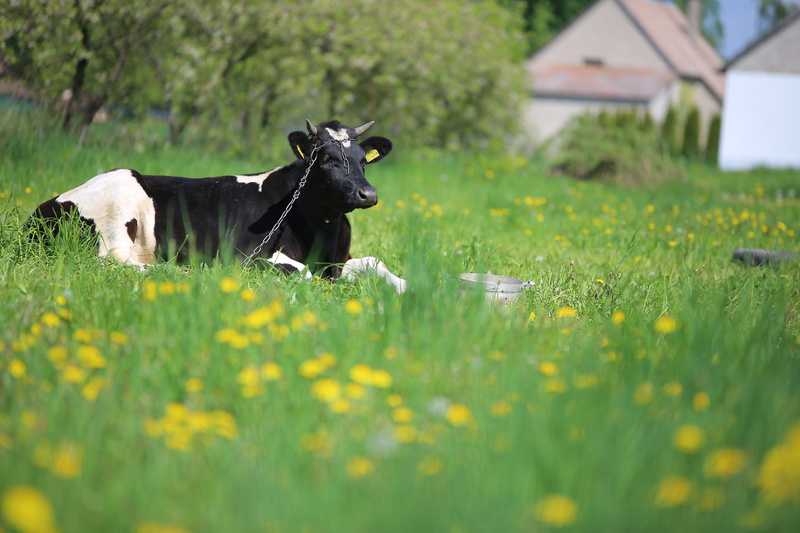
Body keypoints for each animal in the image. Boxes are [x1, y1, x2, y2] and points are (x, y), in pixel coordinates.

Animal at [29, 119, 407, 293]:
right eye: (327, 159)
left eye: (363, 160)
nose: (368, 194)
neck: (320, 230)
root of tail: (39, 211)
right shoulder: (247, 258)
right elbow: (303, 273)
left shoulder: (338, 261)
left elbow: (374, 263)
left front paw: (408, 285)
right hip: (118, 204)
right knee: (114, 264)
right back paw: (179, 272)